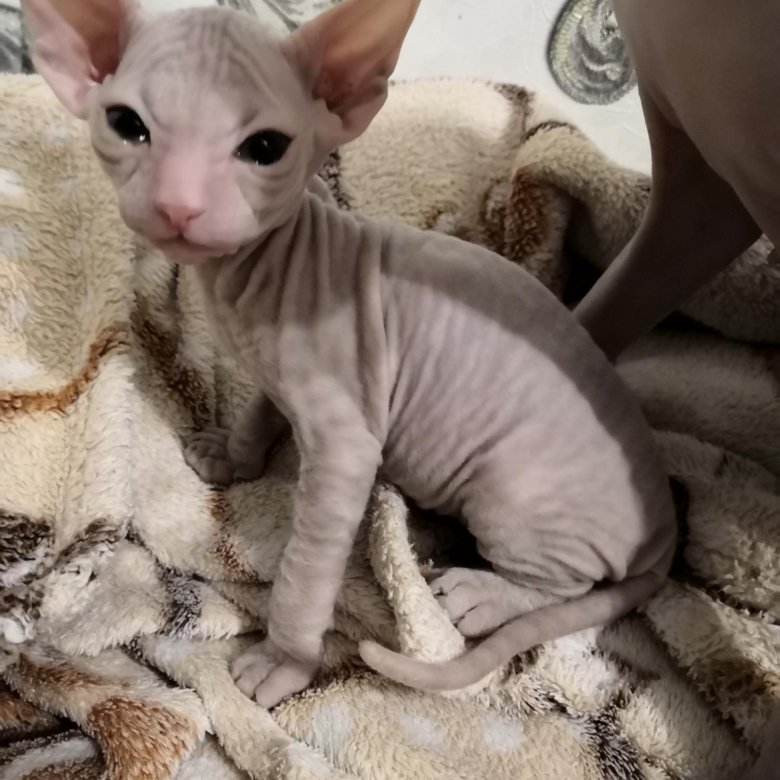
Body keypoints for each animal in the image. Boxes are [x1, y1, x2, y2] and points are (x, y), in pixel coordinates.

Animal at [23, 0, 676, 709]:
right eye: (126, 125)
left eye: (264, 149)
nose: (178, 205)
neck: (261, 274)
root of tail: (664, 522)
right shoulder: (279, 375)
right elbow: (258, 413)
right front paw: (231, 455)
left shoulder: (345, 449)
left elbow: (307, 571)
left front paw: (282, 661)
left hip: (517, 493)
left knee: (567, 585)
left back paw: (482, 592)